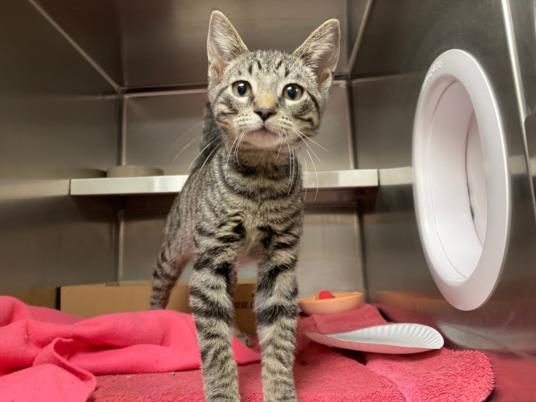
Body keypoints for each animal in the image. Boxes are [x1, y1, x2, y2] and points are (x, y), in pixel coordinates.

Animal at [149, 11, 340, 402]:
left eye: (292, 92)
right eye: (241, 88)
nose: (264, 110)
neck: (259, 185)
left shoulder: (280, 264)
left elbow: (280, 335)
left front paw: (281, 390)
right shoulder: (209, 261)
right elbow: (213, 342)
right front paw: (223, 392)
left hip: (232, 267)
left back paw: (239, 335)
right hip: (175, 249)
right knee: (159, 286)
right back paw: (152, 317)